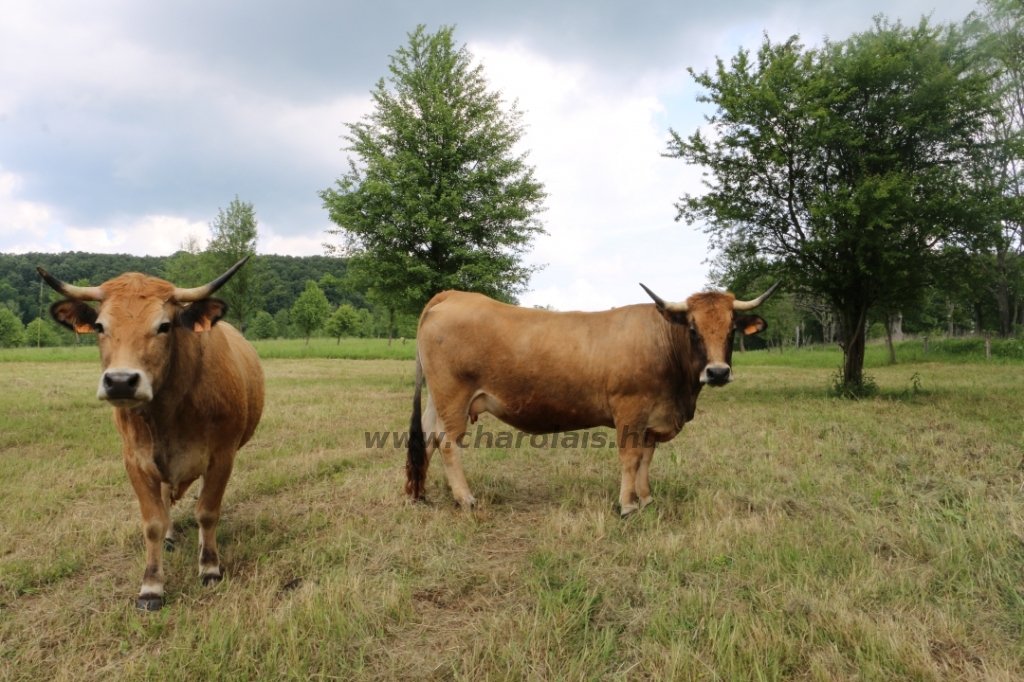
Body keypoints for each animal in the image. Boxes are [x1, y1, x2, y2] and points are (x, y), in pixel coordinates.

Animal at [38, 258, 266, 606]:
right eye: (100, 326)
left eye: (164, 326)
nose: (120, 381)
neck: (166, 415)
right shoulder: (135, 461)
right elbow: (153, 522)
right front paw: (151, 585)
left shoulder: (222, 456)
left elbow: (207, 512)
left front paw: (209, 567)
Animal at [403, 280, 778, 516]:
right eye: (693, 329)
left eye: (731, 329)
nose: (717, 372)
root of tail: (452, 295)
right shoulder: (630, 409)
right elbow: (630, 458)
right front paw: (627, 506)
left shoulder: (652, 419)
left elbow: (646, 459)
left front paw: (645, 499)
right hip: (454, 396)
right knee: (448, 443)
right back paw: (465, 499)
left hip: (438, 399)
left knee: (428, 438)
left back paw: (419, 494)